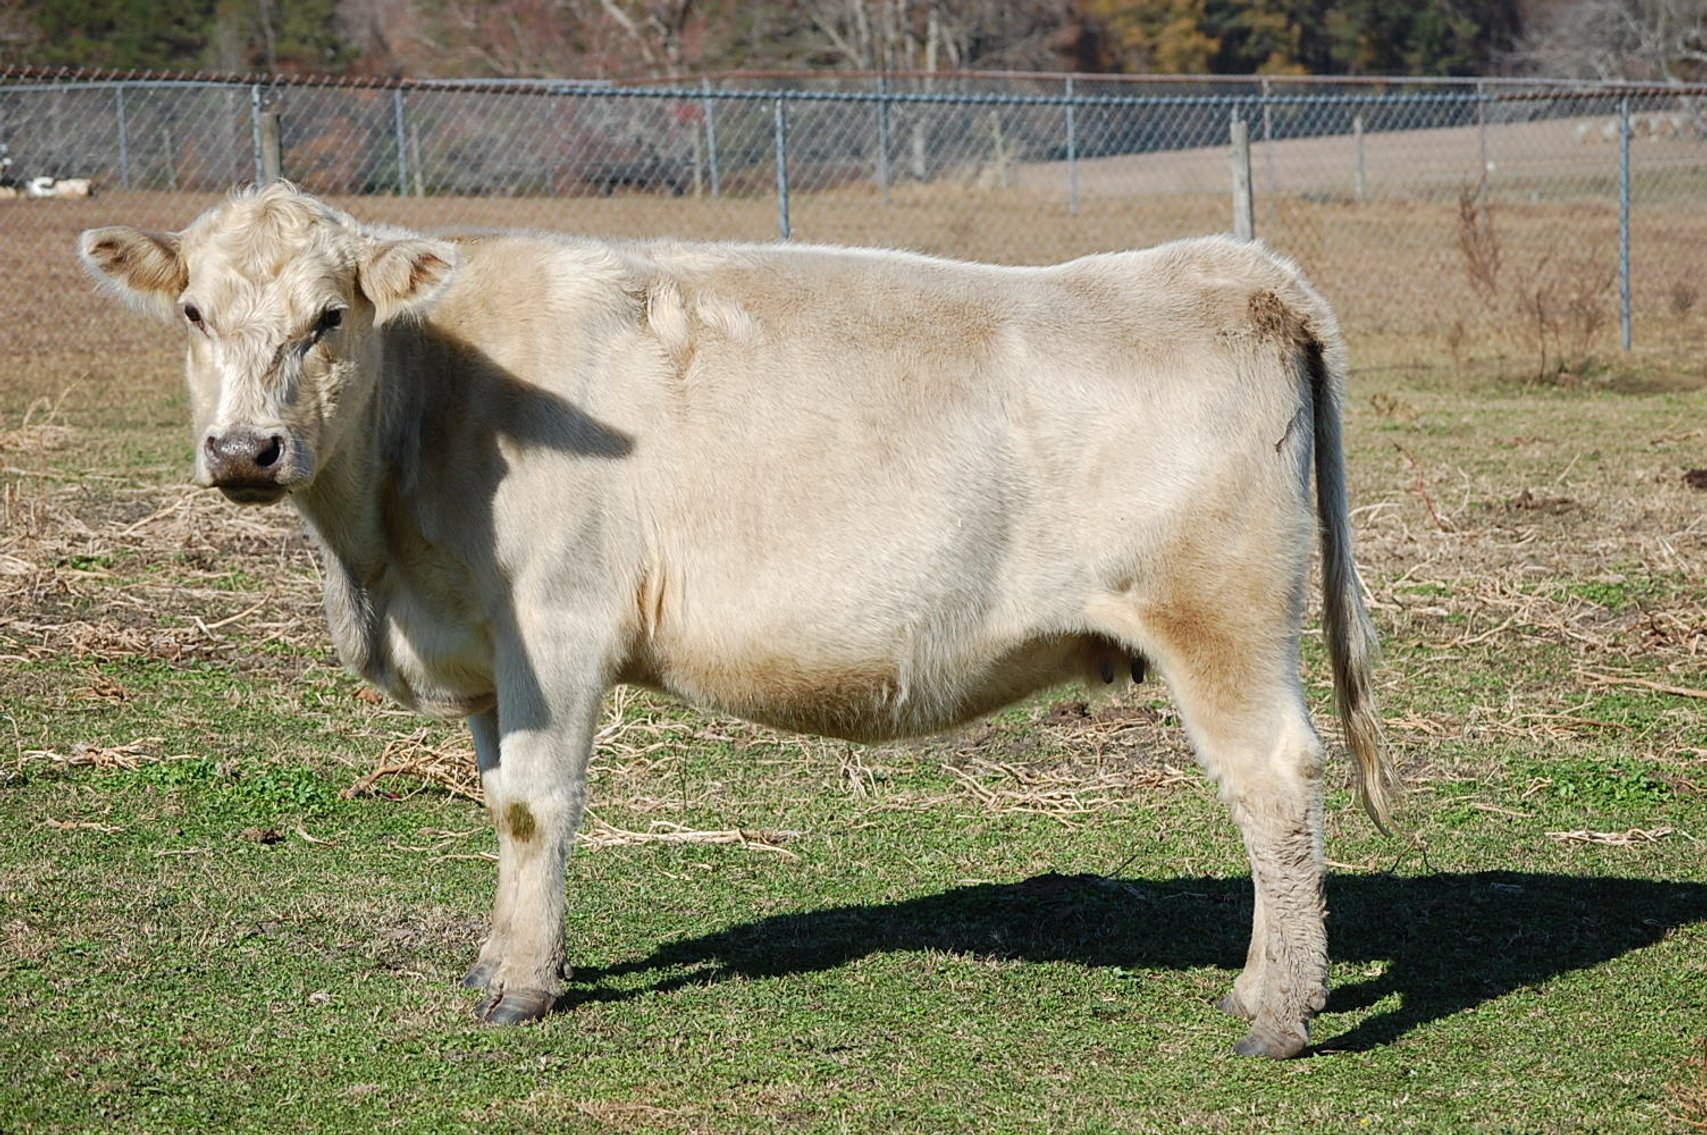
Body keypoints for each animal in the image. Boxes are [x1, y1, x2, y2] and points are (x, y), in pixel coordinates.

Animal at [79, 183, 1393, 1059]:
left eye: (329, 318)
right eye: (192, 312)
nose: (245, 450)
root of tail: (1229, 268)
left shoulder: (555, 628)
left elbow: (533, 804)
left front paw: (523, 989)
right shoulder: (482, 655)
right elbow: (498, 800)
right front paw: (504, 957)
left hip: (1219, 617)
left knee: (1276, 782)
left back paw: (1279, 1010)